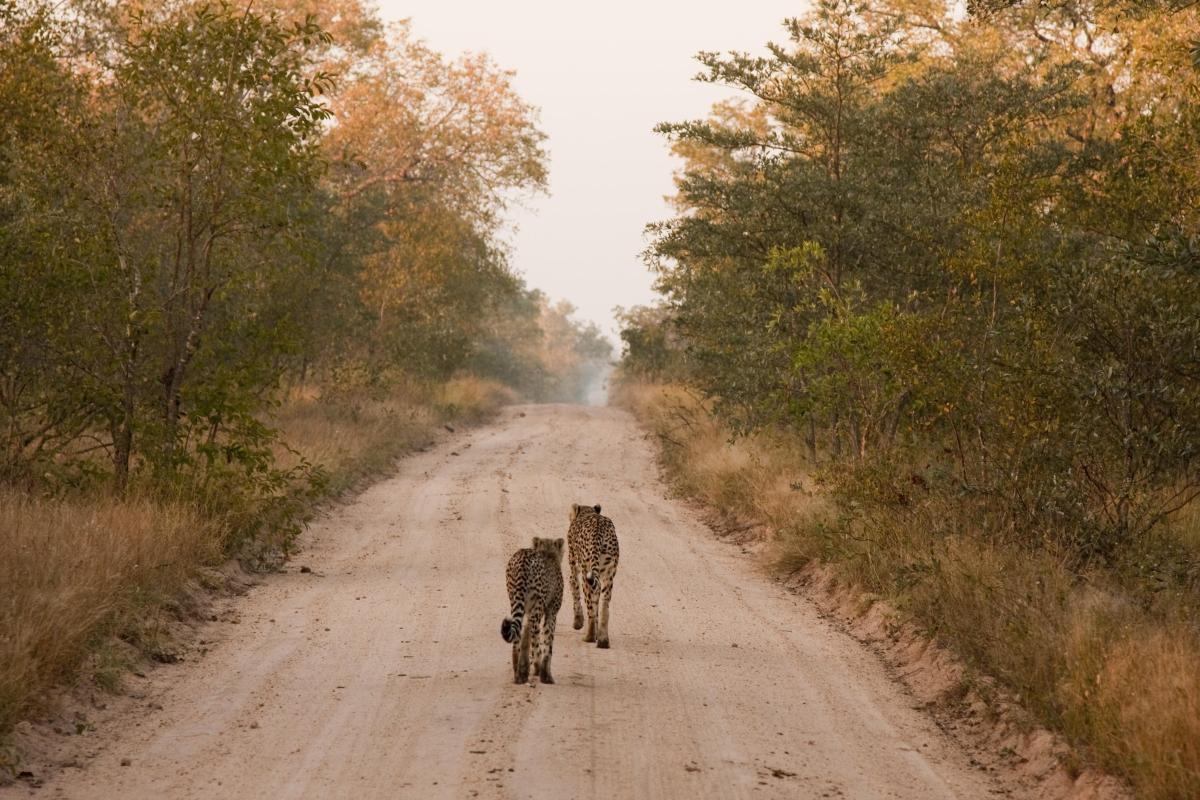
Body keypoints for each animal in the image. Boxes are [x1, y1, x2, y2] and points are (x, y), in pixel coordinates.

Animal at [504, 537, 564, 681]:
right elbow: (547, 641)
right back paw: (525, 669)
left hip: (515, 600)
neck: (548, 553)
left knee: (518, 634)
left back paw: (517, 671)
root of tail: (523, 557)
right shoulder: (551, 612)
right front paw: (546, 674)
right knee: (531, 631)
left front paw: (535, 668)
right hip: (537, 606)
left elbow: (532, 636)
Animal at [566, 506, 619, 652]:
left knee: (590, 604)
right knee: (605, 605)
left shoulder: (574, 568)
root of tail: (599, 526)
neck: (587, 511)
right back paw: (603, 640)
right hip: (609, 573)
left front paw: (578, 622)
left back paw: (589, 636)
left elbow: (574, 590)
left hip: (587, 573)